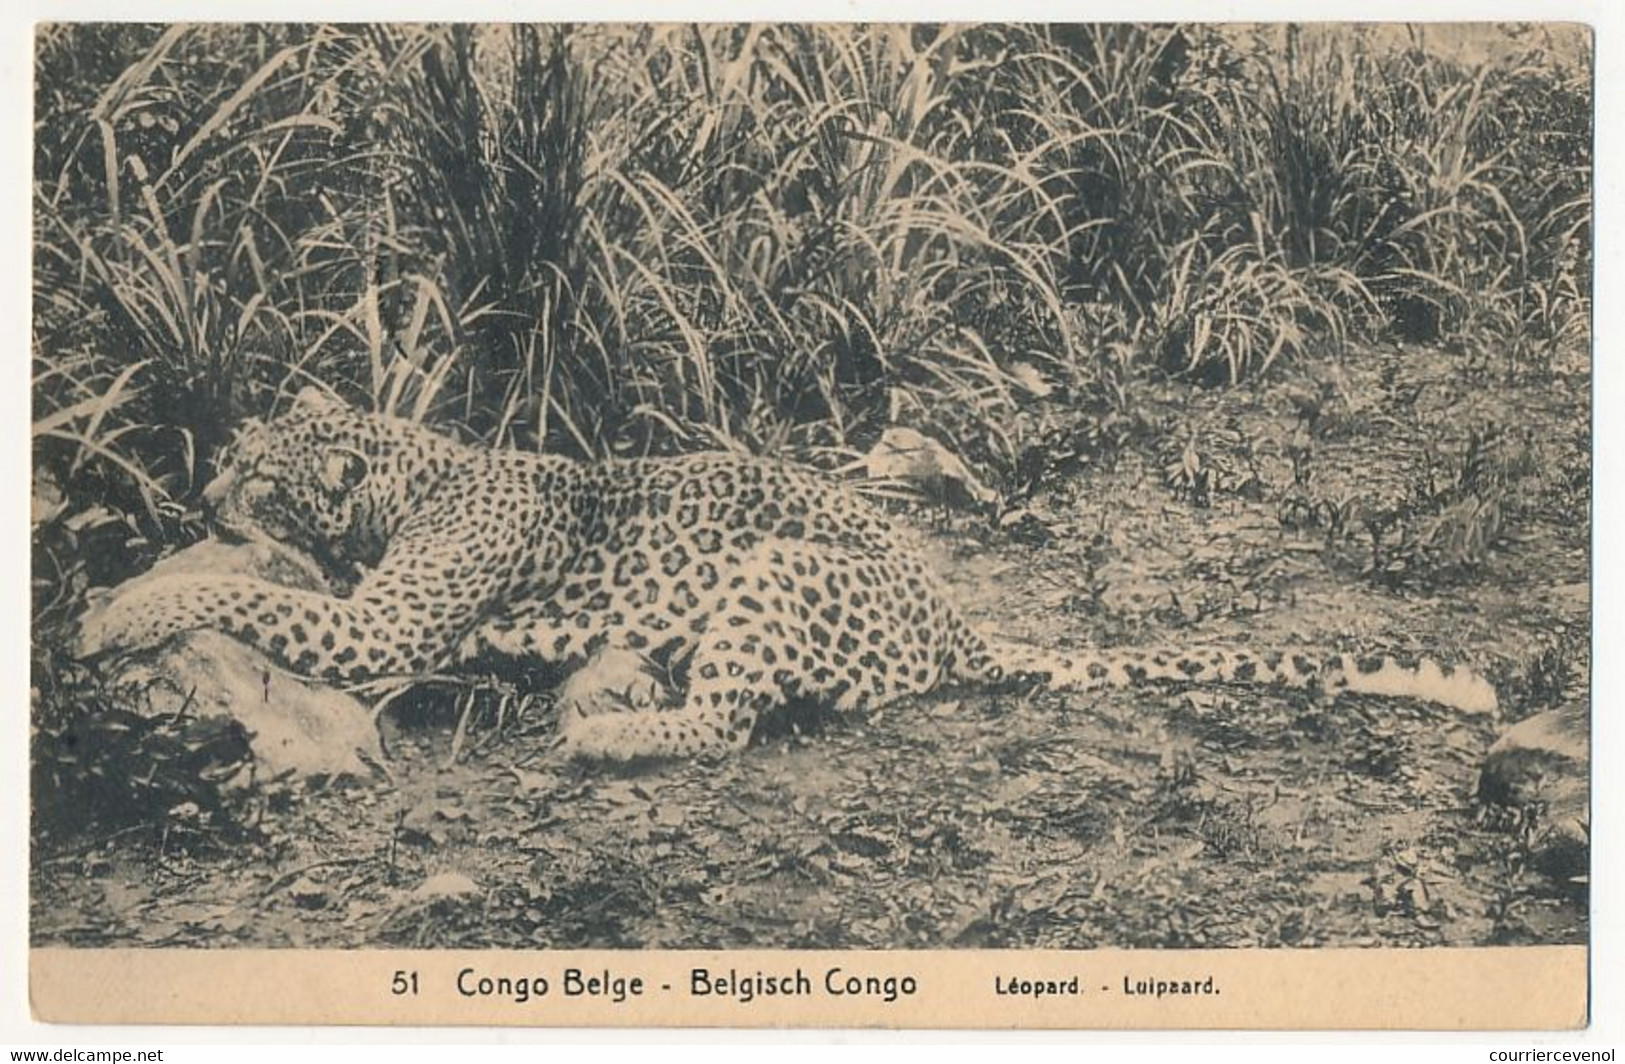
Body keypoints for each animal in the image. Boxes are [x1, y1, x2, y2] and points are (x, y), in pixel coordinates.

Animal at [76, 386, 1495, 760]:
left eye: (251, 473)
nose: (203, 496)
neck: (413, 470)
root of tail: (951, 617)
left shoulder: (382, 624)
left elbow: (248, 590)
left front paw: (114, 610)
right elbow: (264, 585)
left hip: (772, 563)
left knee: (724, 723)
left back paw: (603, 734)